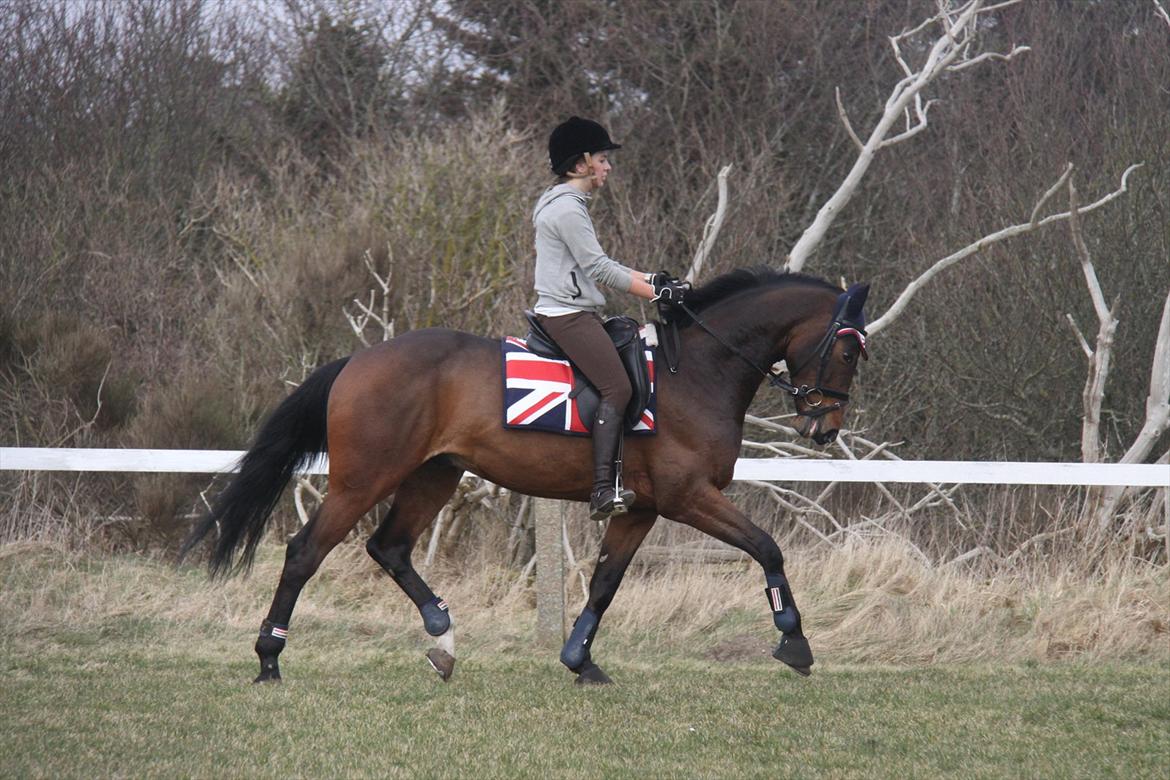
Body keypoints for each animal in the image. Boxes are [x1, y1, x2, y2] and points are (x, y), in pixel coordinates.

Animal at [177, 268, 865, 682]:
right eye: (849, 347)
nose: (825, 426)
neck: (693, 372)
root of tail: (359, 360)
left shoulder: (641, 508)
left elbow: (604, 584)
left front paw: (580, 661)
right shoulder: (687, 497)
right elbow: (767, 549)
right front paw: (795, 643)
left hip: (433, 476)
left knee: (389, 547)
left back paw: (443, 638)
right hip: (362, 481)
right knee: (304, 553)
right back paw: (270, 659)